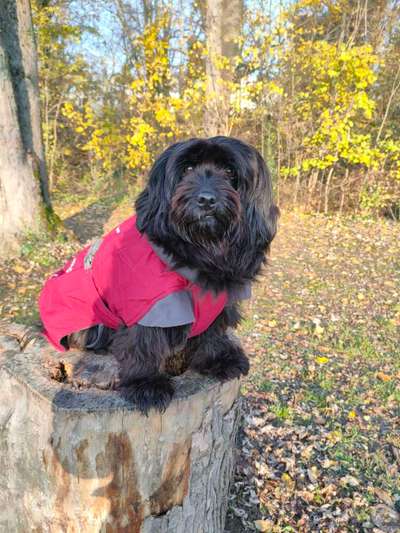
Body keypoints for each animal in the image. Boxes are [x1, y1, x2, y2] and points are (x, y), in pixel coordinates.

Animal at [61, 136, 278, 412]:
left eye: (230, 172)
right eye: (187, 169)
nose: (206, 199)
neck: (199, 249)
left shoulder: (216, 303)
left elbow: (213, 332)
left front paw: (219, 359)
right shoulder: (151, 306)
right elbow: (143, 343)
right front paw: (145, 384)